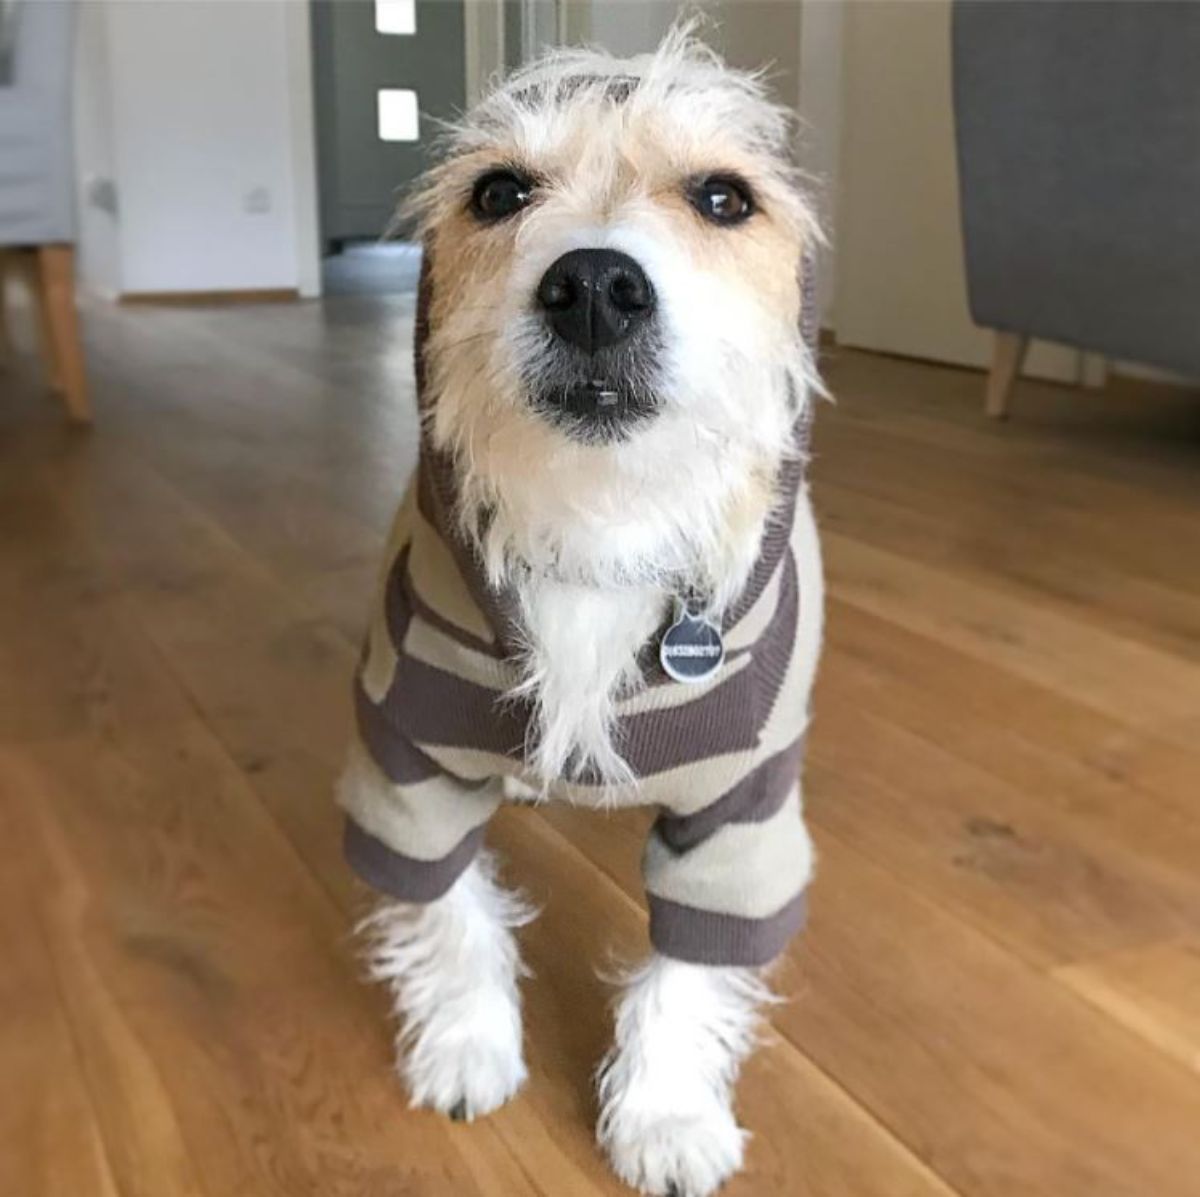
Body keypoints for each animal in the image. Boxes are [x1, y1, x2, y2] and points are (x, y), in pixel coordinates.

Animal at [338, 28, 825, 1197]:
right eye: (499, 191)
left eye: (724, 197)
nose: (596, 284)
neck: (602, 519)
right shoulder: (407, 759)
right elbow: (446, 909)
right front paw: (466, 1045)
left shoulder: (742, 814)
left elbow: (692, 970)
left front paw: (667, 1116)